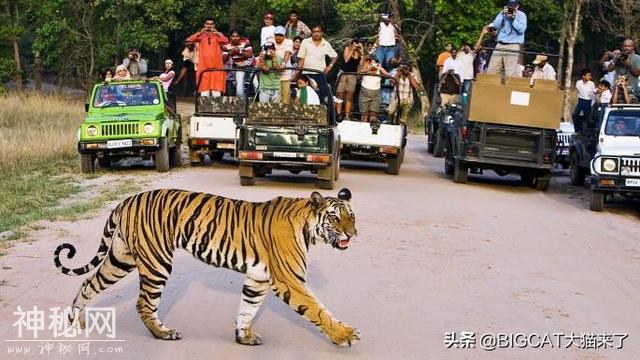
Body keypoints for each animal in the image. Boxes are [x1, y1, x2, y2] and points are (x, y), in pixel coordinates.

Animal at [52, 187, 358, 348]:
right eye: (335, 218)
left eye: (351, 216)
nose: (352, 234)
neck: (308, 227)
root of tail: (128, 199)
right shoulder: (290, 280)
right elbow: (318, 309)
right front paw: (345, 335)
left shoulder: (257, 278)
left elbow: (247, 308)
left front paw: (243, 336)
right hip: (156, 262)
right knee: (144, 303)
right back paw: (163, 333)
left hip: (121, 257)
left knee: (89, 282)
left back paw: (76, 319)